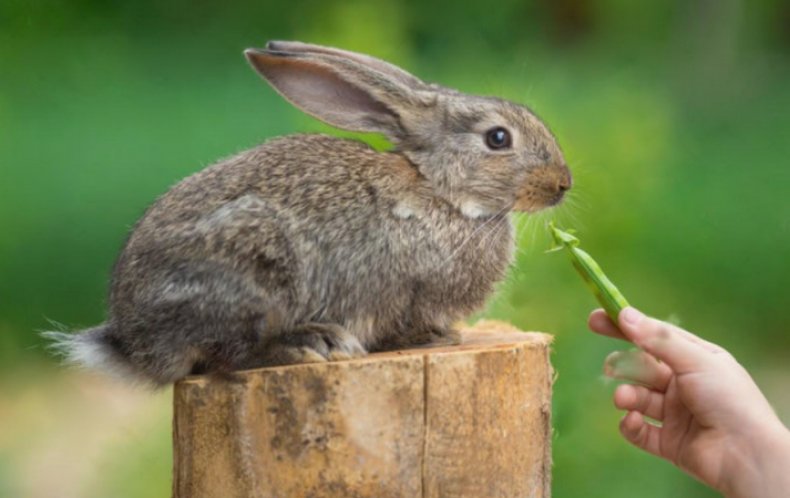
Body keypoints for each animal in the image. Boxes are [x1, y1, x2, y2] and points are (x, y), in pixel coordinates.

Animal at [46, 41, 572, 386]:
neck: (442, 190)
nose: (562, 185)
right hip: (251, 269)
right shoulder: (405, 290)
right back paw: (311, 344)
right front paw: (437, 338)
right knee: (228, 356)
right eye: (498, 139)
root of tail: (133, 342)